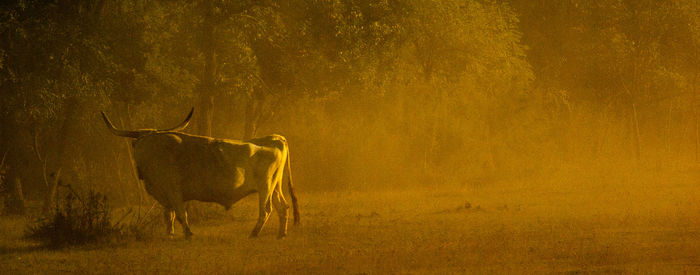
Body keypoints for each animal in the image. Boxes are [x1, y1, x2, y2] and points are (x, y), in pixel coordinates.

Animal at [100, 109, 298, 238]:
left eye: (145, 144)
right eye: (137, 144)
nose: (140, 161)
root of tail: (274, 138)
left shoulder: (174, 192)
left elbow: (181, 215)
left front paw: (188, 233)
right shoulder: (165, 196)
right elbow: (169, 216)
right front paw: (170, 235)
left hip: (265, 187)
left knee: (266, 210)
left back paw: (254, 233)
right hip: (275, 186)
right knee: (283, 207)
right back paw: (281, 234)